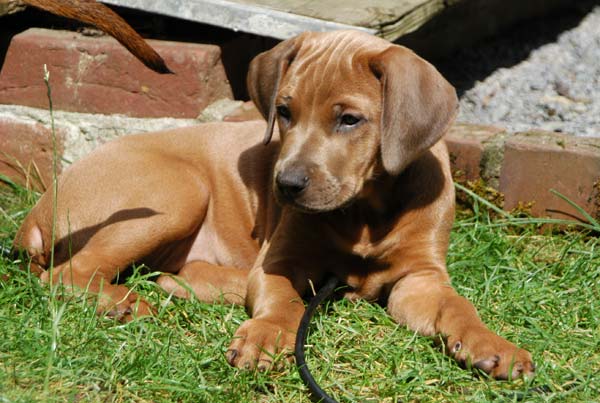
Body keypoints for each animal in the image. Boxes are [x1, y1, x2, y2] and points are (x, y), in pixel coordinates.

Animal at [12, 31, 536, 382]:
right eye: (284, 112)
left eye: (350, 120)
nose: (285, 185)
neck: (366, 212)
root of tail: (37, 212)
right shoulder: (279, 261)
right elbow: (285, 300)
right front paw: (265, 335)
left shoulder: (421, 277)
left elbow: (459, 306)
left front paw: (493, 345)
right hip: (178, 189)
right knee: (65, 274)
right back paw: (125, 304)